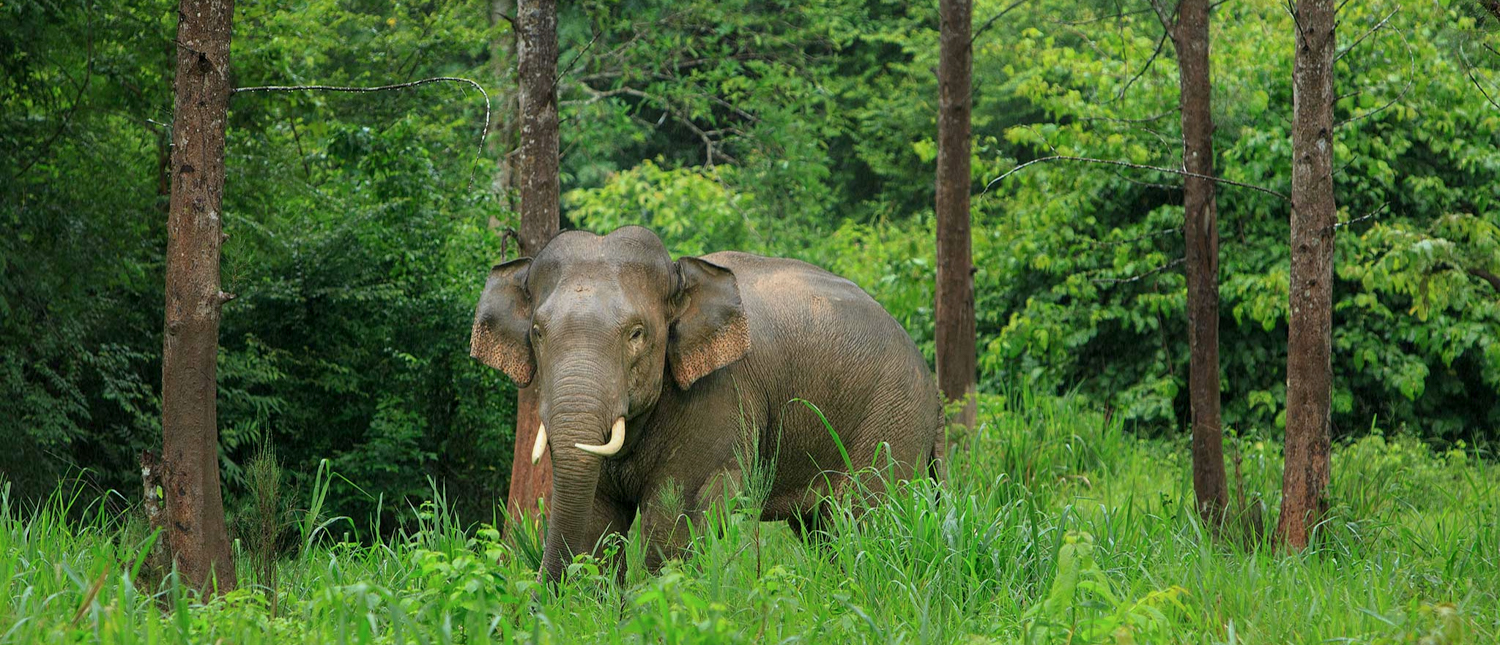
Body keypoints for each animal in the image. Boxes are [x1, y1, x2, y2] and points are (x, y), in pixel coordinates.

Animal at [469, 225, 945, 584]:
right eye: (537, 332)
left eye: (637, 333)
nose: (535, 598)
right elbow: (596, 520)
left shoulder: (721, 395)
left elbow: (675, 515)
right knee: (824, 532)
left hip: (891, 419)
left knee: (870, 520)